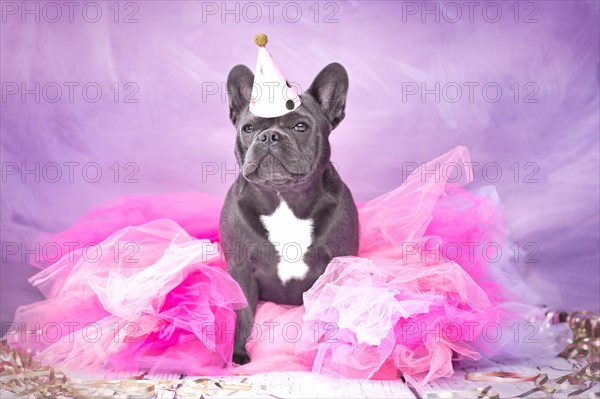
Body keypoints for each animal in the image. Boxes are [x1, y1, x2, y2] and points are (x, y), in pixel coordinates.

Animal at [221, 63, 358, 366]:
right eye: (248, 128)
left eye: (300, 126)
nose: (269, 136)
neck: (283, 196)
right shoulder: (240, 269)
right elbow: (243, 315)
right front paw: (239, 354)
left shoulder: (336, 265)